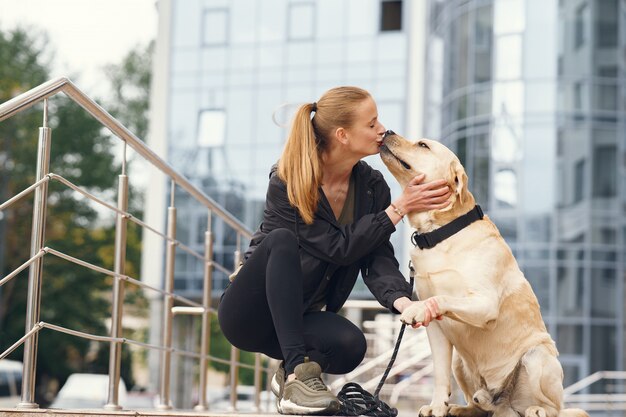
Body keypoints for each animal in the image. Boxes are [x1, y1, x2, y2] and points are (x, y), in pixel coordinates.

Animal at [378, 132, 588, 416]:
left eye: (423, 145)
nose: (387, 132)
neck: (440, 233)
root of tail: (503, 402)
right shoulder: (438, 331)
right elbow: (440, 375)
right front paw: (437, 407)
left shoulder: (484, 303)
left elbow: (442, 298)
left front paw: (418, 308)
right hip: (460, 363)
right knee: (480, 406)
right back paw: (461, 408)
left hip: (537, 357)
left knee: (555, 408)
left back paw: (537, 409)